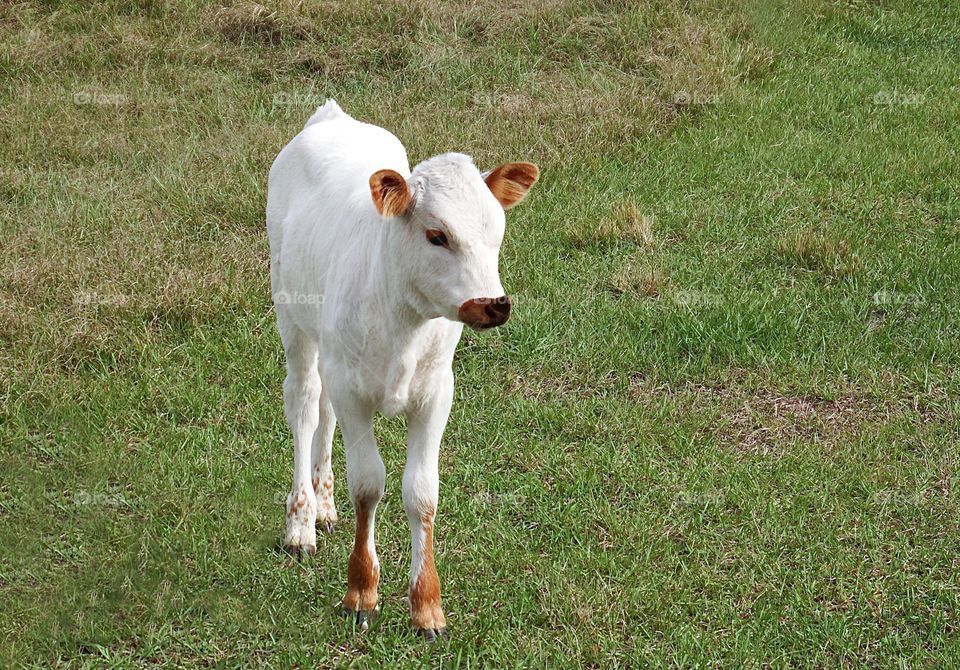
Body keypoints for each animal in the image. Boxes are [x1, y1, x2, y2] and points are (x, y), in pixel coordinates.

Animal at [266, 100, 538, 640]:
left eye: (496, 234)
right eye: (437, 235)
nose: (494, 304)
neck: (404, 323)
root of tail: (331, 117)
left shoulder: (436, 392)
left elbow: (422, 492)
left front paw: (427, 605)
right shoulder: (354, 391)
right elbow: (369, 483)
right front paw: (361, 591)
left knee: (323, 412)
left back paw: (324, 506)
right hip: (294, 321)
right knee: (305, 404)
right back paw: (301, 521)